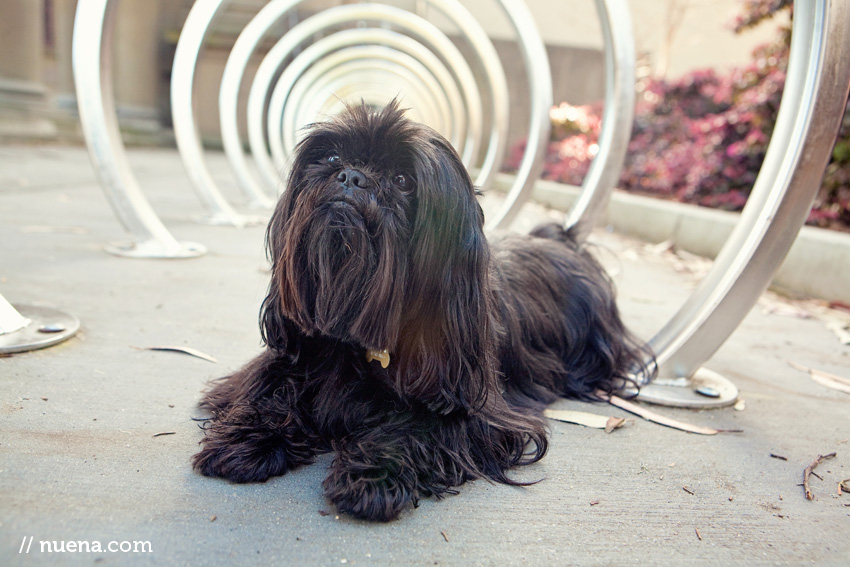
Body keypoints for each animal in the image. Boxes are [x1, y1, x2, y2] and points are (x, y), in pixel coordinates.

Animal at [194, 101, 648, 524]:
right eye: (332, 158)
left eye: (402, 181)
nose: (352, 177)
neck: (355, 341)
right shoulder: (289, 357)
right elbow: (270, 389)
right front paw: (247, 437)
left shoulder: (476, 409)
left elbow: (414, 429)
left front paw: (373, 475)